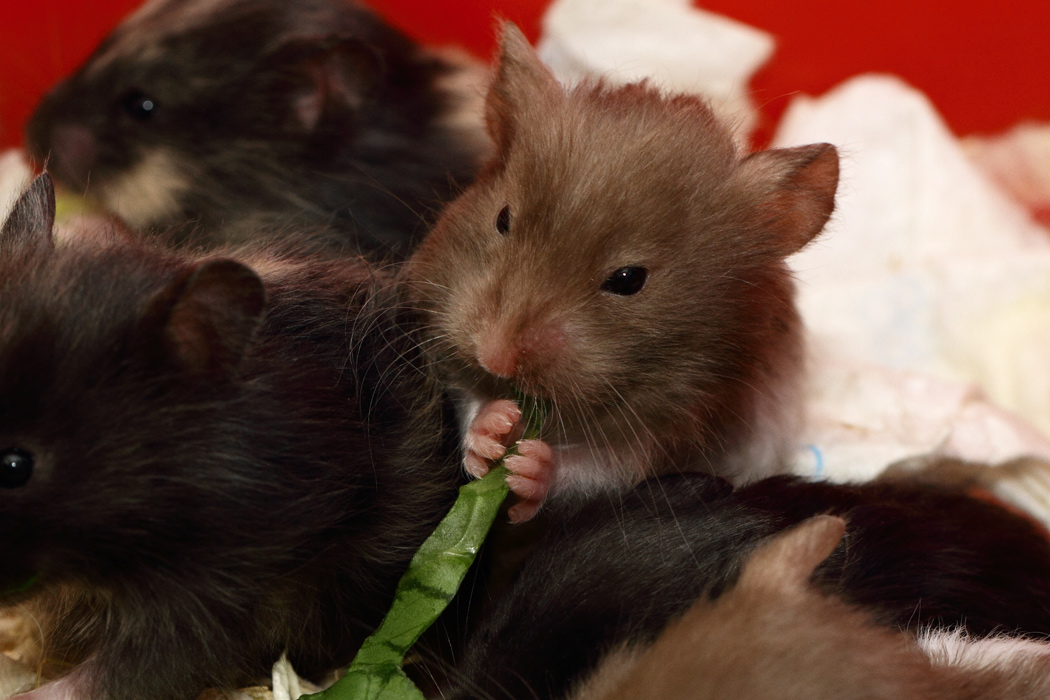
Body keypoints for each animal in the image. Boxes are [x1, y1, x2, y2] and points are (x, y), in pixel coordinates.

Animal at [405, 24, 839, 522]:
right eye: (502, 218)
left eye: (630, 280)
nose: (494, 357)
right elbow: (468, 401)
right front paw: (494, 431)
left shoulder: (665, 433)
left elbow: (598, 468)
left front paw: (528, 468)